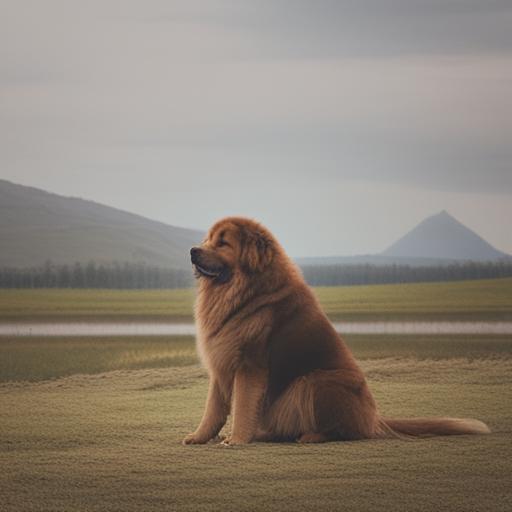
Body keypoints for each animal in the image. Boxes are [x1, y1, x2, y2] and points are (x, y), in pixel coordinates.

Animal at [182, 216, 490, 444]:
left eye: (223, 243)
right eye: (208, 239)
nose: (193, 251)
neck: (242, 292)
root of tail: (374, 418)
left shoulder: (249, 365)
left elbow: (242, 407)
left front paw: (235, 440)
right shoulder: (222, 364)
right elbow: (213, 409)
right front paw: (199, 437)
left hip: (316, 382)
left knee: (342, 430)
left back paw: (310, 436)